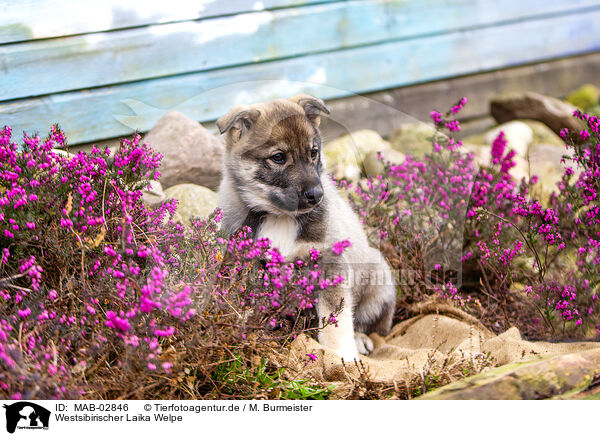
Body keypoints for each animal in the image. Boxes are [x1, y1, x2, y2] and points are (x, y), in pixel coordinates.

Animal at [217, 93, 398, 360]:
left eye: (313, 153)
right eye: (278, 157)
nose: (317, 195)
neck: (280, 216)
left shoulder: (329, 263)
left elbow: (337, 318)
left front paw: (342, 354)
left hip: (377, 279)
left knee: (371, 323)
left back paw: (361, 339)